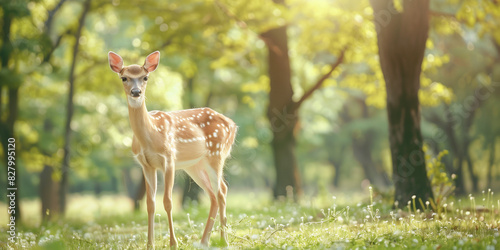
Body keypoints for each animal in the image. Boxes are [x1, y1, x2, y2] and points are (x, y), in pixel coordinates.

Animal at [108, 50, 237, 248]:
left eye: (145, 77)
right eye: (124, 78)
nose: (136, 92)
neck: (151, 135)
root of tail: (232, 124)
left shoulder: (169, 158)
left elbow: (168, 201)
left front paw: (173, 243)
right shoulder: (146, 165)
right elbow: (150, 203)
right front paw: (150, 244)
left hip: (216, 153)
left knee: (222, 190)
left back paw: (224, 242)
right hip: (195, 165)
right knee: (213, 194)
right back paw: (203, 241)